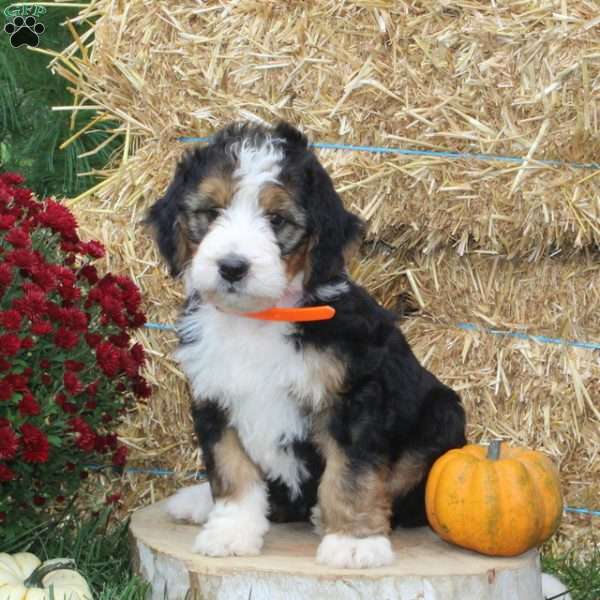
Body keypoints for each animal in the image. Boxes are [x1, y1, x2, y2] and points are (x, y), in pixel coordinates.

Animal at [148, 122, 466, 568]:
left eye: (277, 219)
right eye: (211, 213)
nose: (232, 267)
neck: (258, 318)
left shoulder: (354, 396)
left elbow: (352, 474)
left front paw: (353, 542)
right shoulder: (214, 397)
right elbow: (231, 470)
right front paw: (230, 533)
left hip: (442, 414)